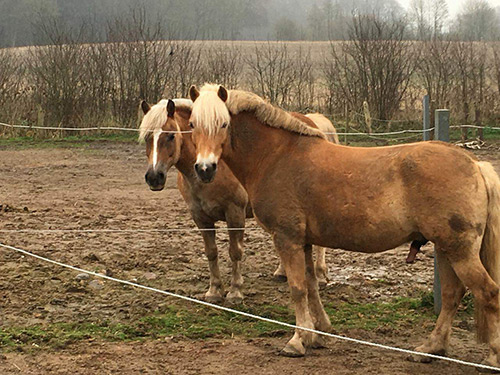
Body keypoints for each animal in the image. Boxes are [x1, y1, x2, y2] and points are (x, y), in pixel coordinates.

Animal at [139, 98, 338, 304]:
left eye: (170, 136)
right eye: (147, 137)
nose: (154, 177)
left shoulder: (235, 213)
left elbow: (235, 251)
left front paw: (235, 291)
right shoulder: (200, 217)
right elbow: (211, 252)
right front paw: (214, 291)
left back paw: (320, 275)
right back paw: (282, 272)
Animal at [187, 83, 500, 368]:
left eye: (223, 123)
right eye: (192, 124)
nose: (205, 169)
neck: (275, 156)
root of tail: (475, 164)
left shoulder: (287, 239)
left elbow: (297, 289)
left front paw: (297, 341)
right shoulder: (305, 242)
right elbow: (311, 285)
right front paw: (318, 335)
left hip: (459, 251)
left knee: (488, 293)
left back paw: (491, 356)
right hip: (447, 249)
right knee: (452, 295)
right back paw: (431, 349)